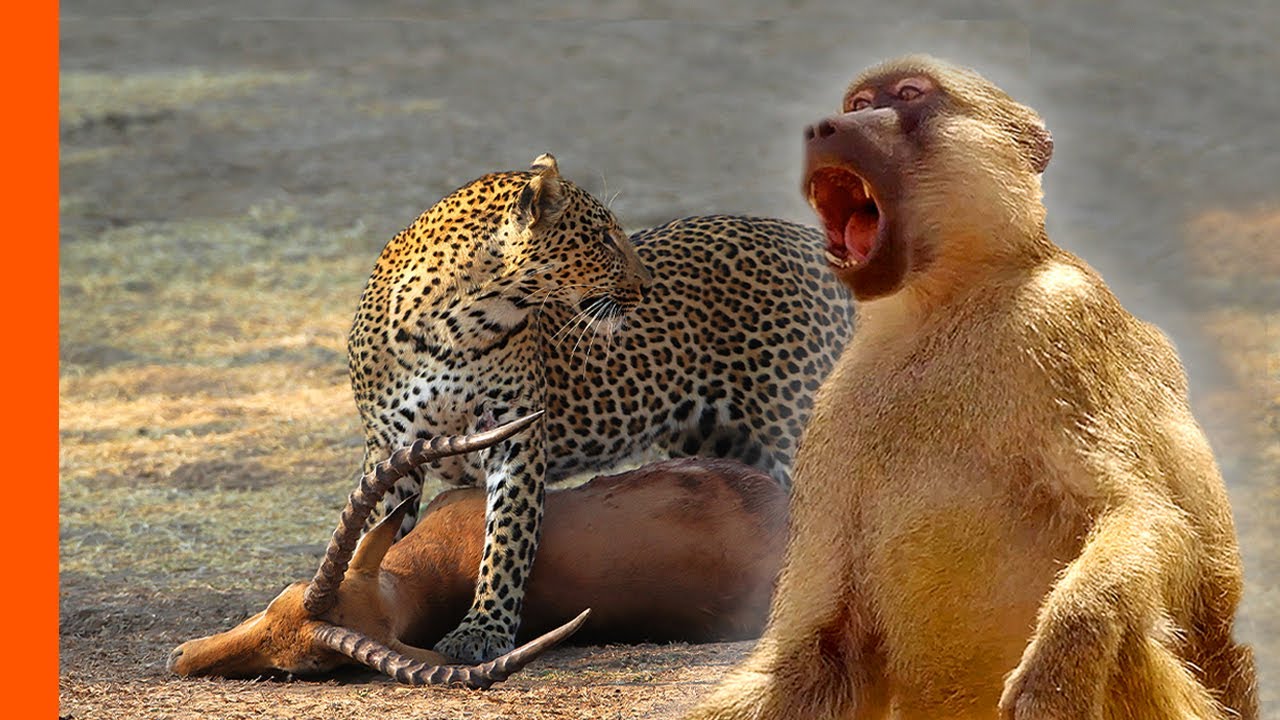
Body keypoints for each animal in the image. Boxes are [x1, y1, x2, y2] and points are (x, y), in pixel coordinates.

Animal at [347, 153, 854, 663]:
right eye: (605, 238)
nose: (647, 286)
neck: (453, 327)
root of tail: (810, 242)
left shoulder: (515, 439)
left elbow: (508, 541)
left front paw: (483, 628)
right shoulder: (390, 449)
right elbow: (379, 531)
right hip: (723, 441)